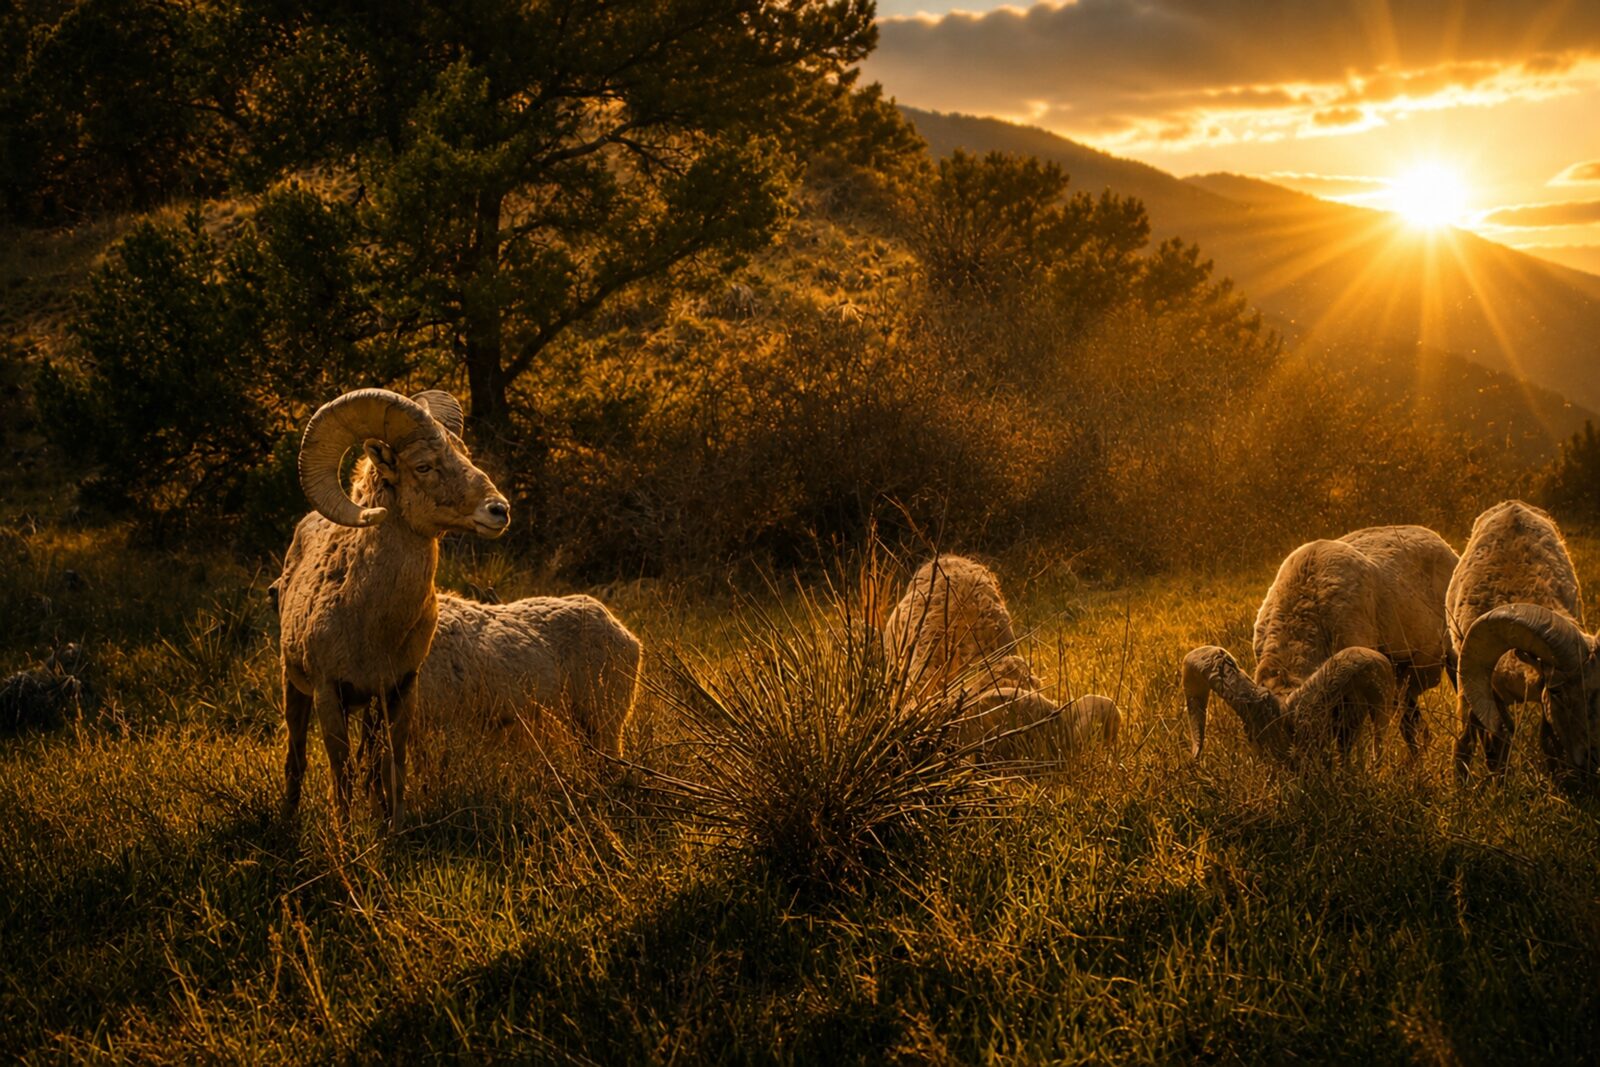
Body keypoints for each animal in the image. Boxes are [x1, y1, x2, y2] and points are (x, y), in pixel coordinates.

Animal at [275, 388, 510, 830]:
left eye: (464, 453)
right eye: (423, 466)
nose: (498, 511)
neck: (373, 627)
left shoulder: (400, 689)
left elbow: (393, 768)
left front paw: (394, 829)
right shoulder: (328, 695)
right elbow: (342, 776)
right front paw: (345, 838)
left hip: (369, 709)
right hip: (293, 686)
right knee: (295, 759)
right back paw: (288, 820)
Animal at [1184, 525, 1459, 763]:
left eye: (1311, 737)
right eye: (1255, 740)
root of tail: (1442, 543)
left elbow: (1346, 743)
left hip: (1451, 660)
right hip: (1404, 688)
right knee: (1415, 731)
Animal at [1447, 500, 1597, 785]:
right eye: (1557, 691)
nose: (1592, 759)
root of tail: (1513, 503)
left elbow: (1547, 741)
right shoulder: (1476, 685)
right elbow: (1478, 740)